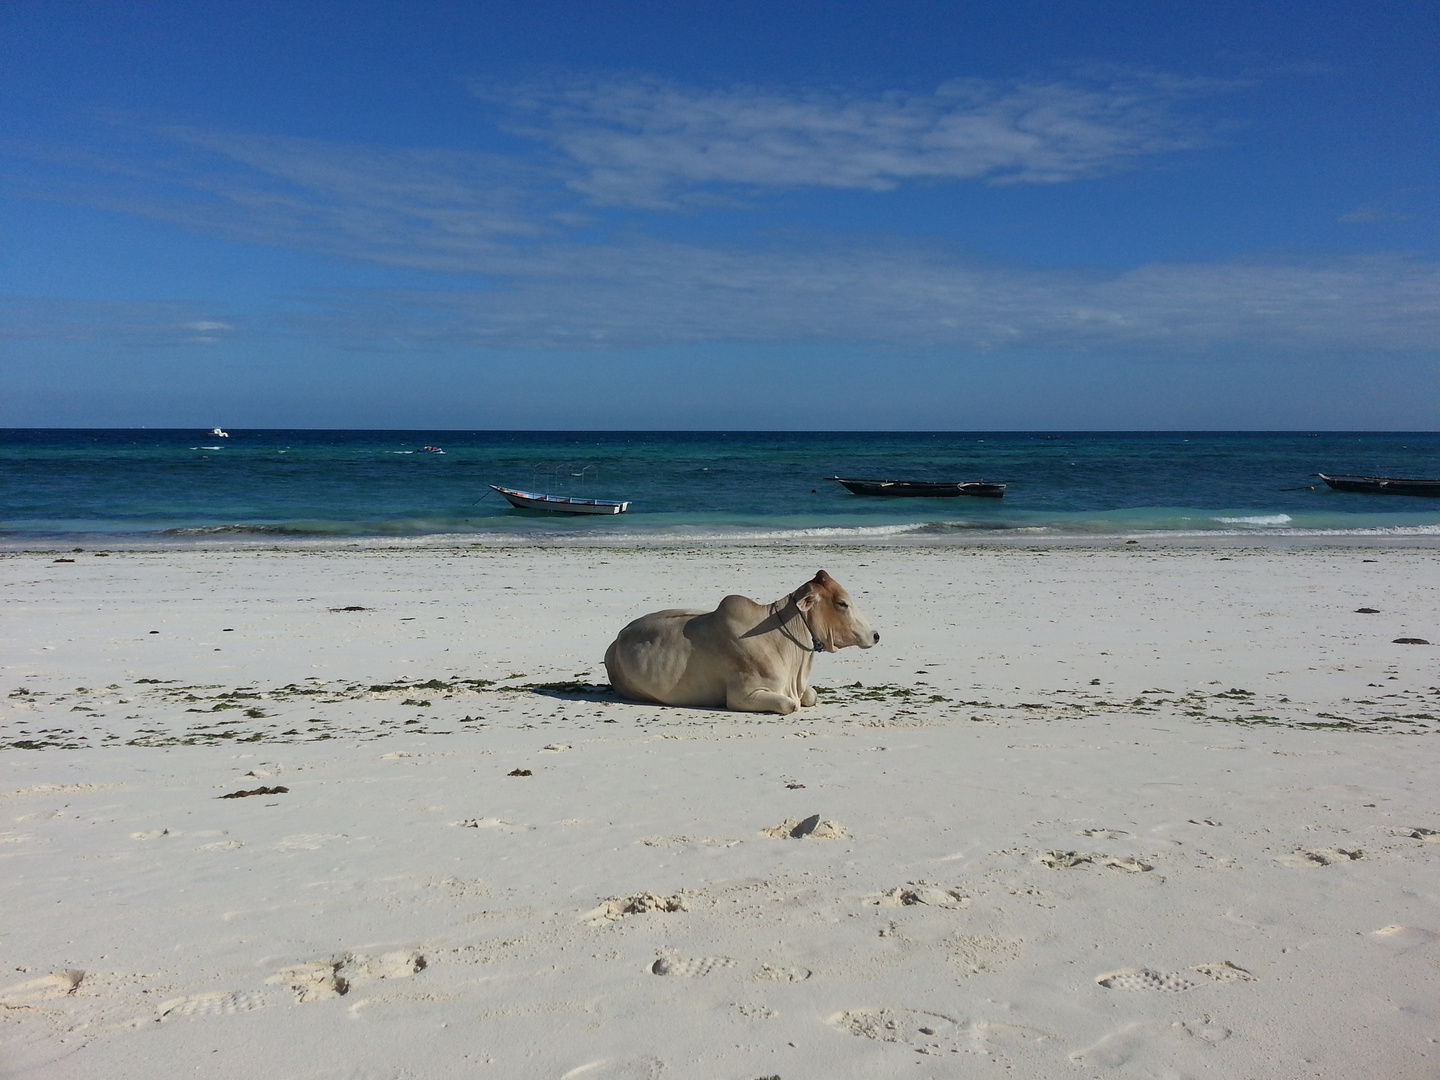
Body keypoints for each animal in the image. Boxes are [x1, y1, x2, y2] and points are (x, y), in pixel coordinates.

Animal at [599, 570, 875, 714]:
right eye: (842, 603)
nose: (875, 635)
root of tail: (616, 640)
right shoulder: (742, 695)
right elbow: (791, 704)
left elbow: (811, 695)